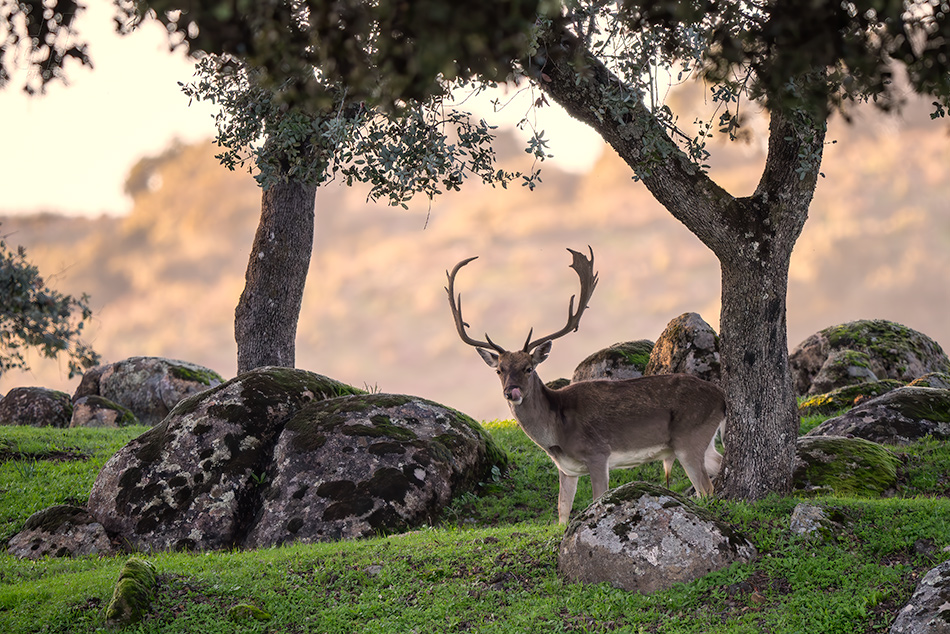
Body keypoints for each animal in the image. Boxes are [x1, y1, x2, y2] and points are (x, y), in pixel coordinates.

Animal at [446, 247, 728, 524]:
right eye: (499, 370)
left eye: (529, 368)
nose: (511, 392)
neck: (557, 433)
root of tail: (722, 397)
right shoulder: (566, 469)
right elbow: (562, 511)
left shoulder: (598, 453)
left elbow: (597, 499)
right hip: (703, 441)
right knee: (717, 464)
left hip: (689, 437)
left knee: (706, 488)